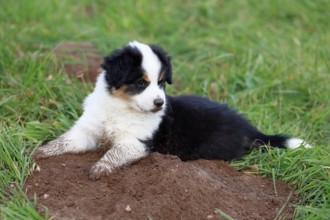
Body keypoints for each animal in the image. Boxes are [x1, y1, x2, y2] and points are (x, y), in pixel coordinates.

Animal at [34, 40, 312, 180]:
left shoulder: (135, 142)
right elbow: (66, 140)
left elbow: (113, 154)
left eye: (161, 82)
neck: (121, 107)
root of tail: (245, 125)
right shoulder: (88, 130)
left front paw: (99, 169)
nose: (160, 103)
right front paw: (42, 151)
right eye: (141, 83)